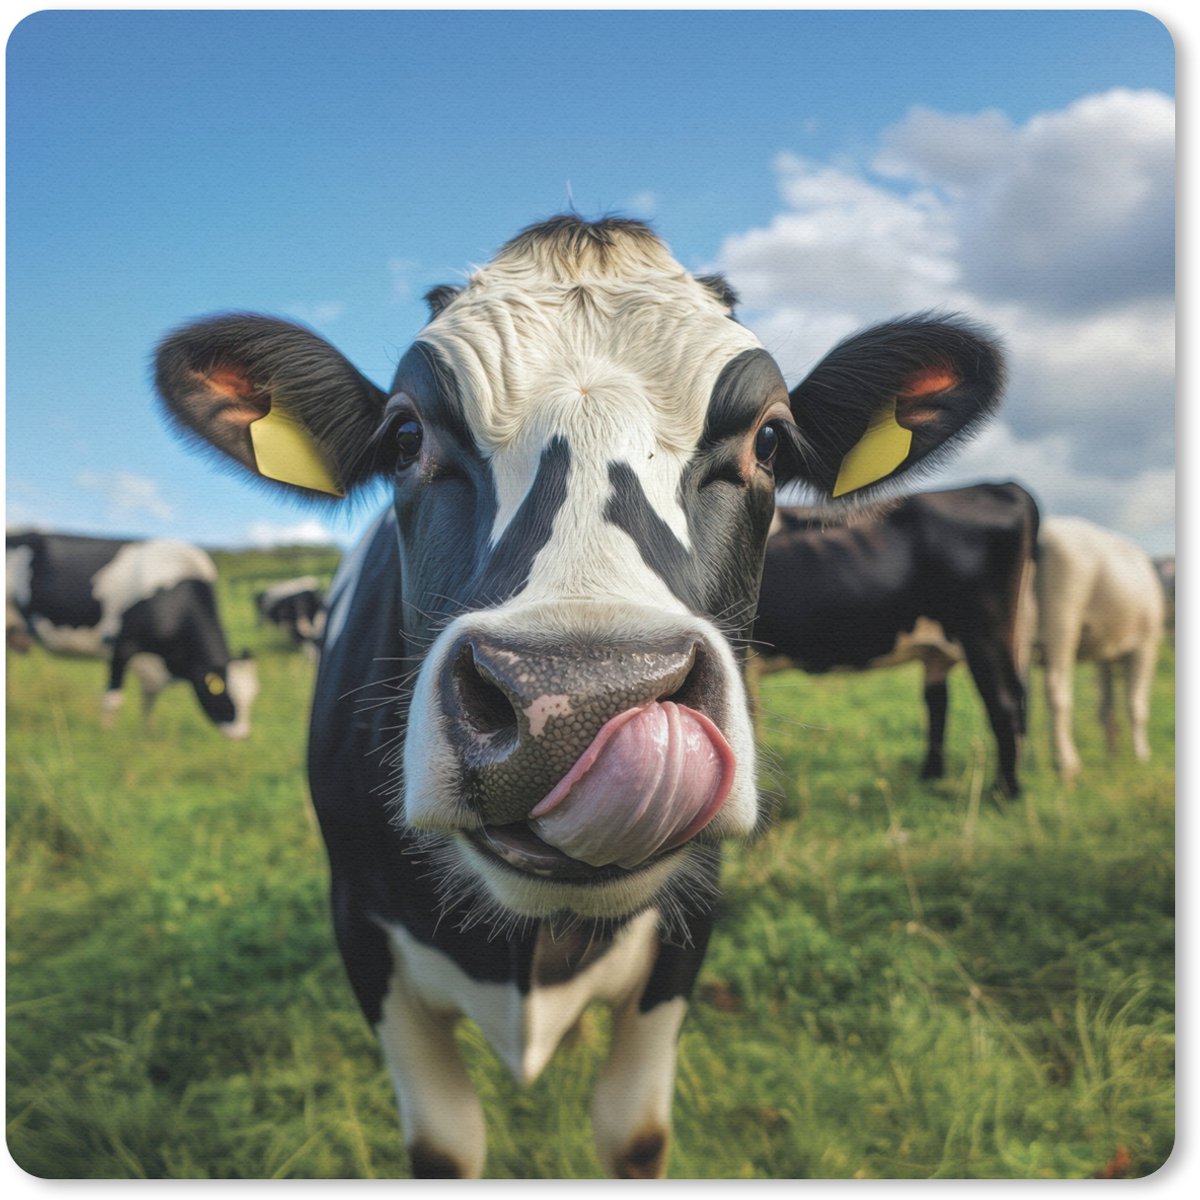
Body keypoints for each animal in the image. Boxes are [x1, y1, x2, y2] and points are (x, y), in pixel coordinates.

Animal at [6, 531, 258, 739]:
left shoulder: (152, 664)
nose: (243, 735)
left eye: (252, 697)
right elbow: (113, 700)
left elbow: (149, 700)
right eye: (224, 695)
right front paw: (107, 735)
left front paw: (148, 734)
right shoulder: (121, 646)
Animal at [152, 215, 1004, 1177]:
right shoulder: (362, 934)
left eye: (770, 441)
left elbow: (633, 1133)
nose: (580, 699)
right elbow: (445, 1144)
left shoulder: (687, 927)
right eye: (405, 436)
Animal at [751, 482, 1039, 797]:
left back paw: (1003, 792)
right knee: (941, 702)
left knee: (1003, 703)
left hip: (984, 634)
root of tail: (1002, 485)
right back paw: (931, 777)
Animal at [1035, 516, 1164, 783]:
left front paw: (1113, 754)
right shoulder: (1146, 646)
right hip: (1061, 619)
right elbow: (1136, 705)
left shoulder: (1104, 656)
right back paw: (1066, 764)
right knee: (1057, 690)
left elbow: (1106, 707)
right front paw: (1141, 757)